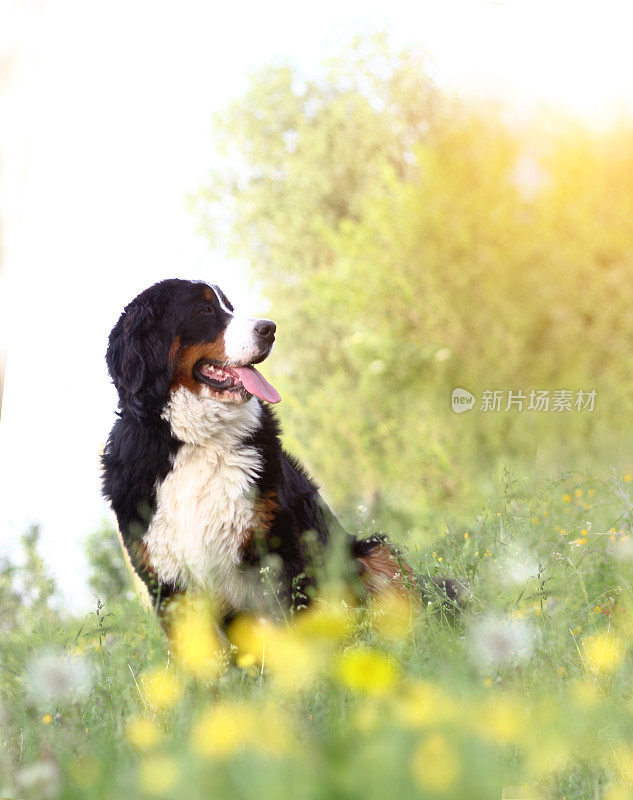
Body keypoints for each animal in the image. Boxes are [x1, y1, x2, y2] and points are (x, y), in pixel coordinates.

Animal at [102, 278, 450, 628]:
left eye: (229, 306)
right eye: (204, 310)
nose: (269, 328)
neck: (196, 443)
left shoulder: (276, 548)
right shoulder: (168, 581)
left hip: (374, 551)